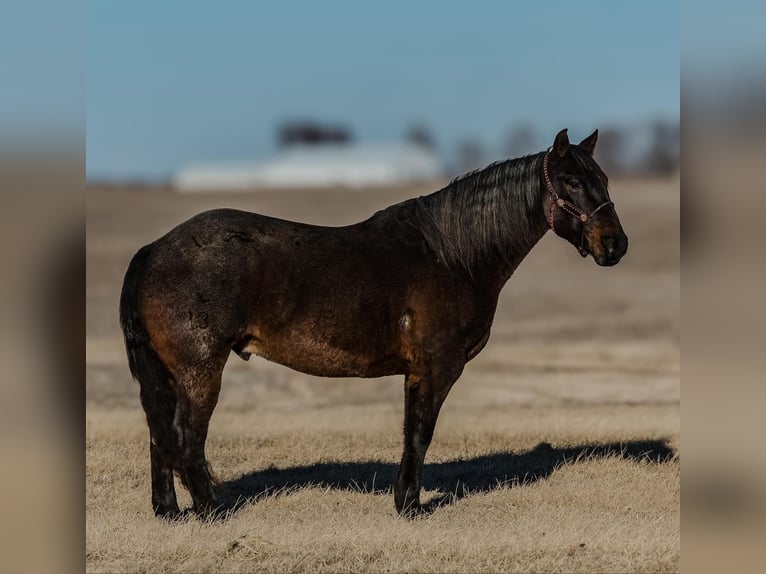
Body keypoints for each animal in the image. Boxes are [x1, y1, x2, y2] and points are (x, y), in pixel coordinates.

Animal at [120, 128, 632, 520]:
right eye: (571, 181)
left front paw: (405, 500)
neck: (452, 255)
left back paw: (169, 511)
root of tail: (154, 250)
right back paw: (212, 511)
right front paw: (410, 506)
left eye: (603, 178)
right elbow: (420, 434)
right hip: (200, 371)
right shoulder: (435, 368)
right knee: (186, 439)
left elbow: (412, 432)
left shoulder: (417, 372)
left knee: (159, 435)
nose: (615, 244)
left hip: (168, 376)